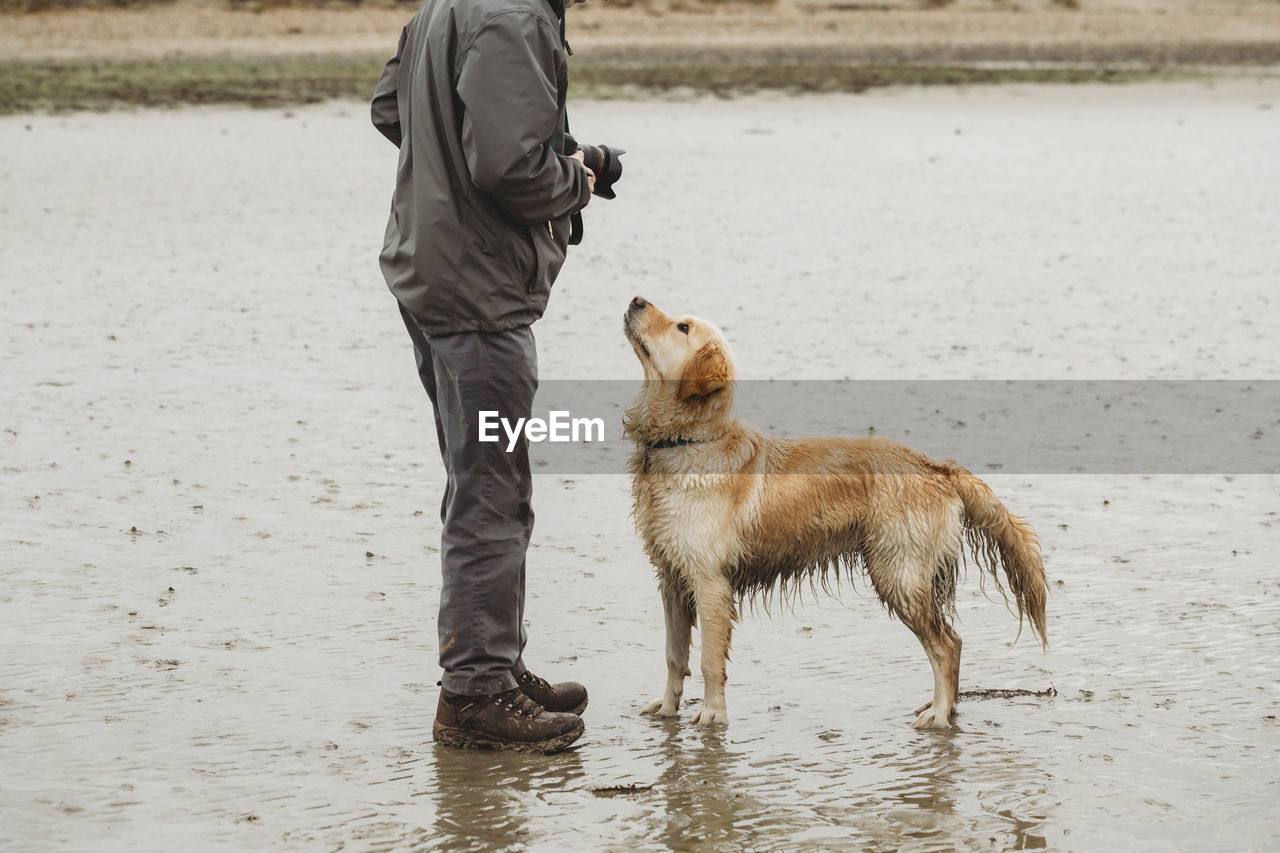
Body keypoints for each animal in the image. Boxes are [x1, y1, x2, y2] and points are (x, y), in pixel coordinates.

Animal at [622, 295, 1049, 727]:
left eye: (683, 327)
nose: (637, 300)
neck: (686, 440)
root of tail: (935, 465)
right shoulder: (671, 578)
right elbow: (674, 655)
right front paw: (667, 707)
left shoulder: (710, 582)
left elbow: (709, 661)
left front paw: (712, 715)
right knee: (956, 641)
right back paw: (943, 706)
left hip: (897, 573)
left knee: (944, 646)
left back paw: (939, 715)